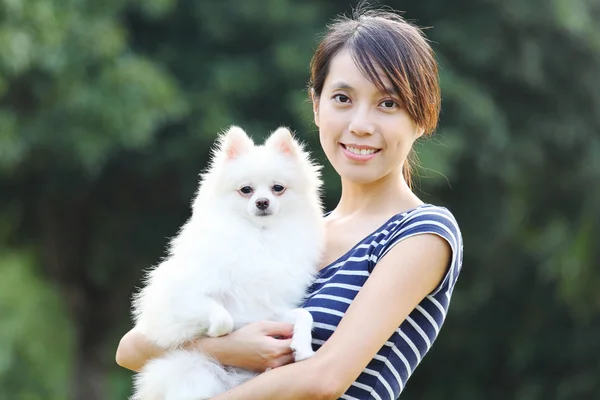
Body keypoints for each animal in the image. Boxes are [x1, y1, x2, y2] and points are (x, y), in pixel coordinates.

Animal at [128, 126, 324, 400]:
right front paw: (216, 332)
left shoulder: (267, 308)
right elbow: (223, 316)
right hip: (193, 373)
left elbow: (305, 315)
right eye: (246, 190)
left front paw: (303, 346)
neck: (259, 237)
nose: (262, 202)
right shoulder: (178, 297)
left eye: (278, 188)